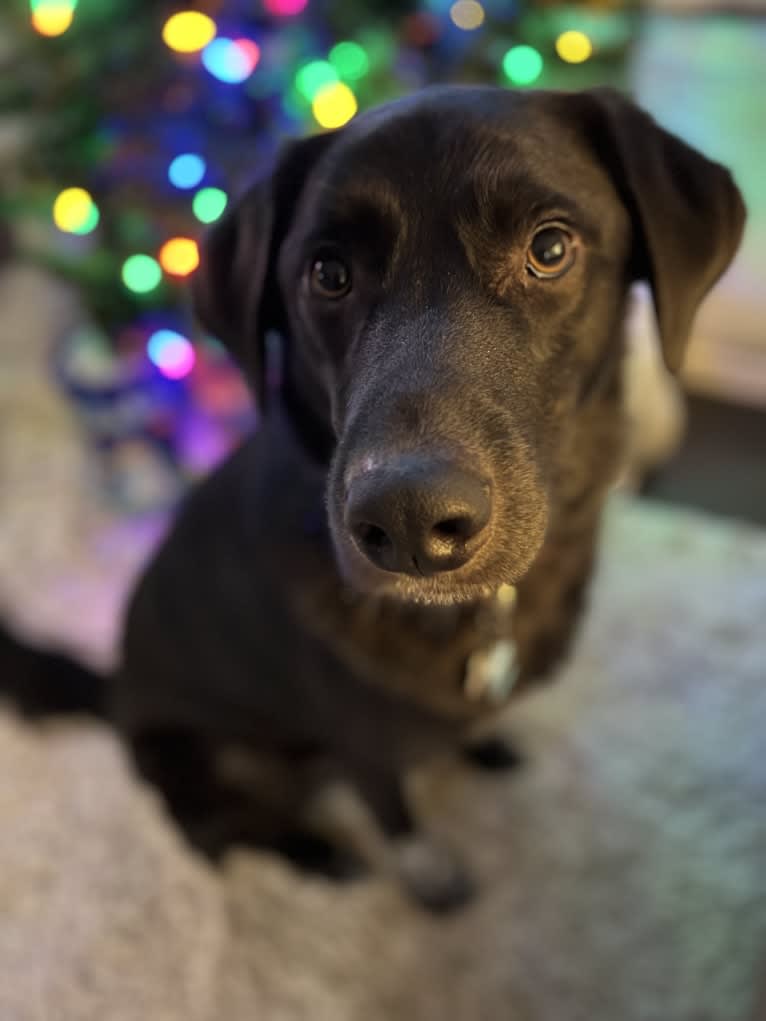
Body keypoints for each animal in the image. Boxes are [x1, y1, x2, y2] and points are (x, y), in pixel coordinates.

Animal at [0, 87, 743, 914]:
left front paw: (485, 739)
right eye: (327, 272)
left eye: (550, 249)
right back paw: (316, 853)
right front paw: (433, 881)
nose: (408, 521)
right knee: (216, 829)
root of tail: (116, 690)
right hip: (199, 752)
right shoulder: (355, 734)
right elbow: (395, 811)